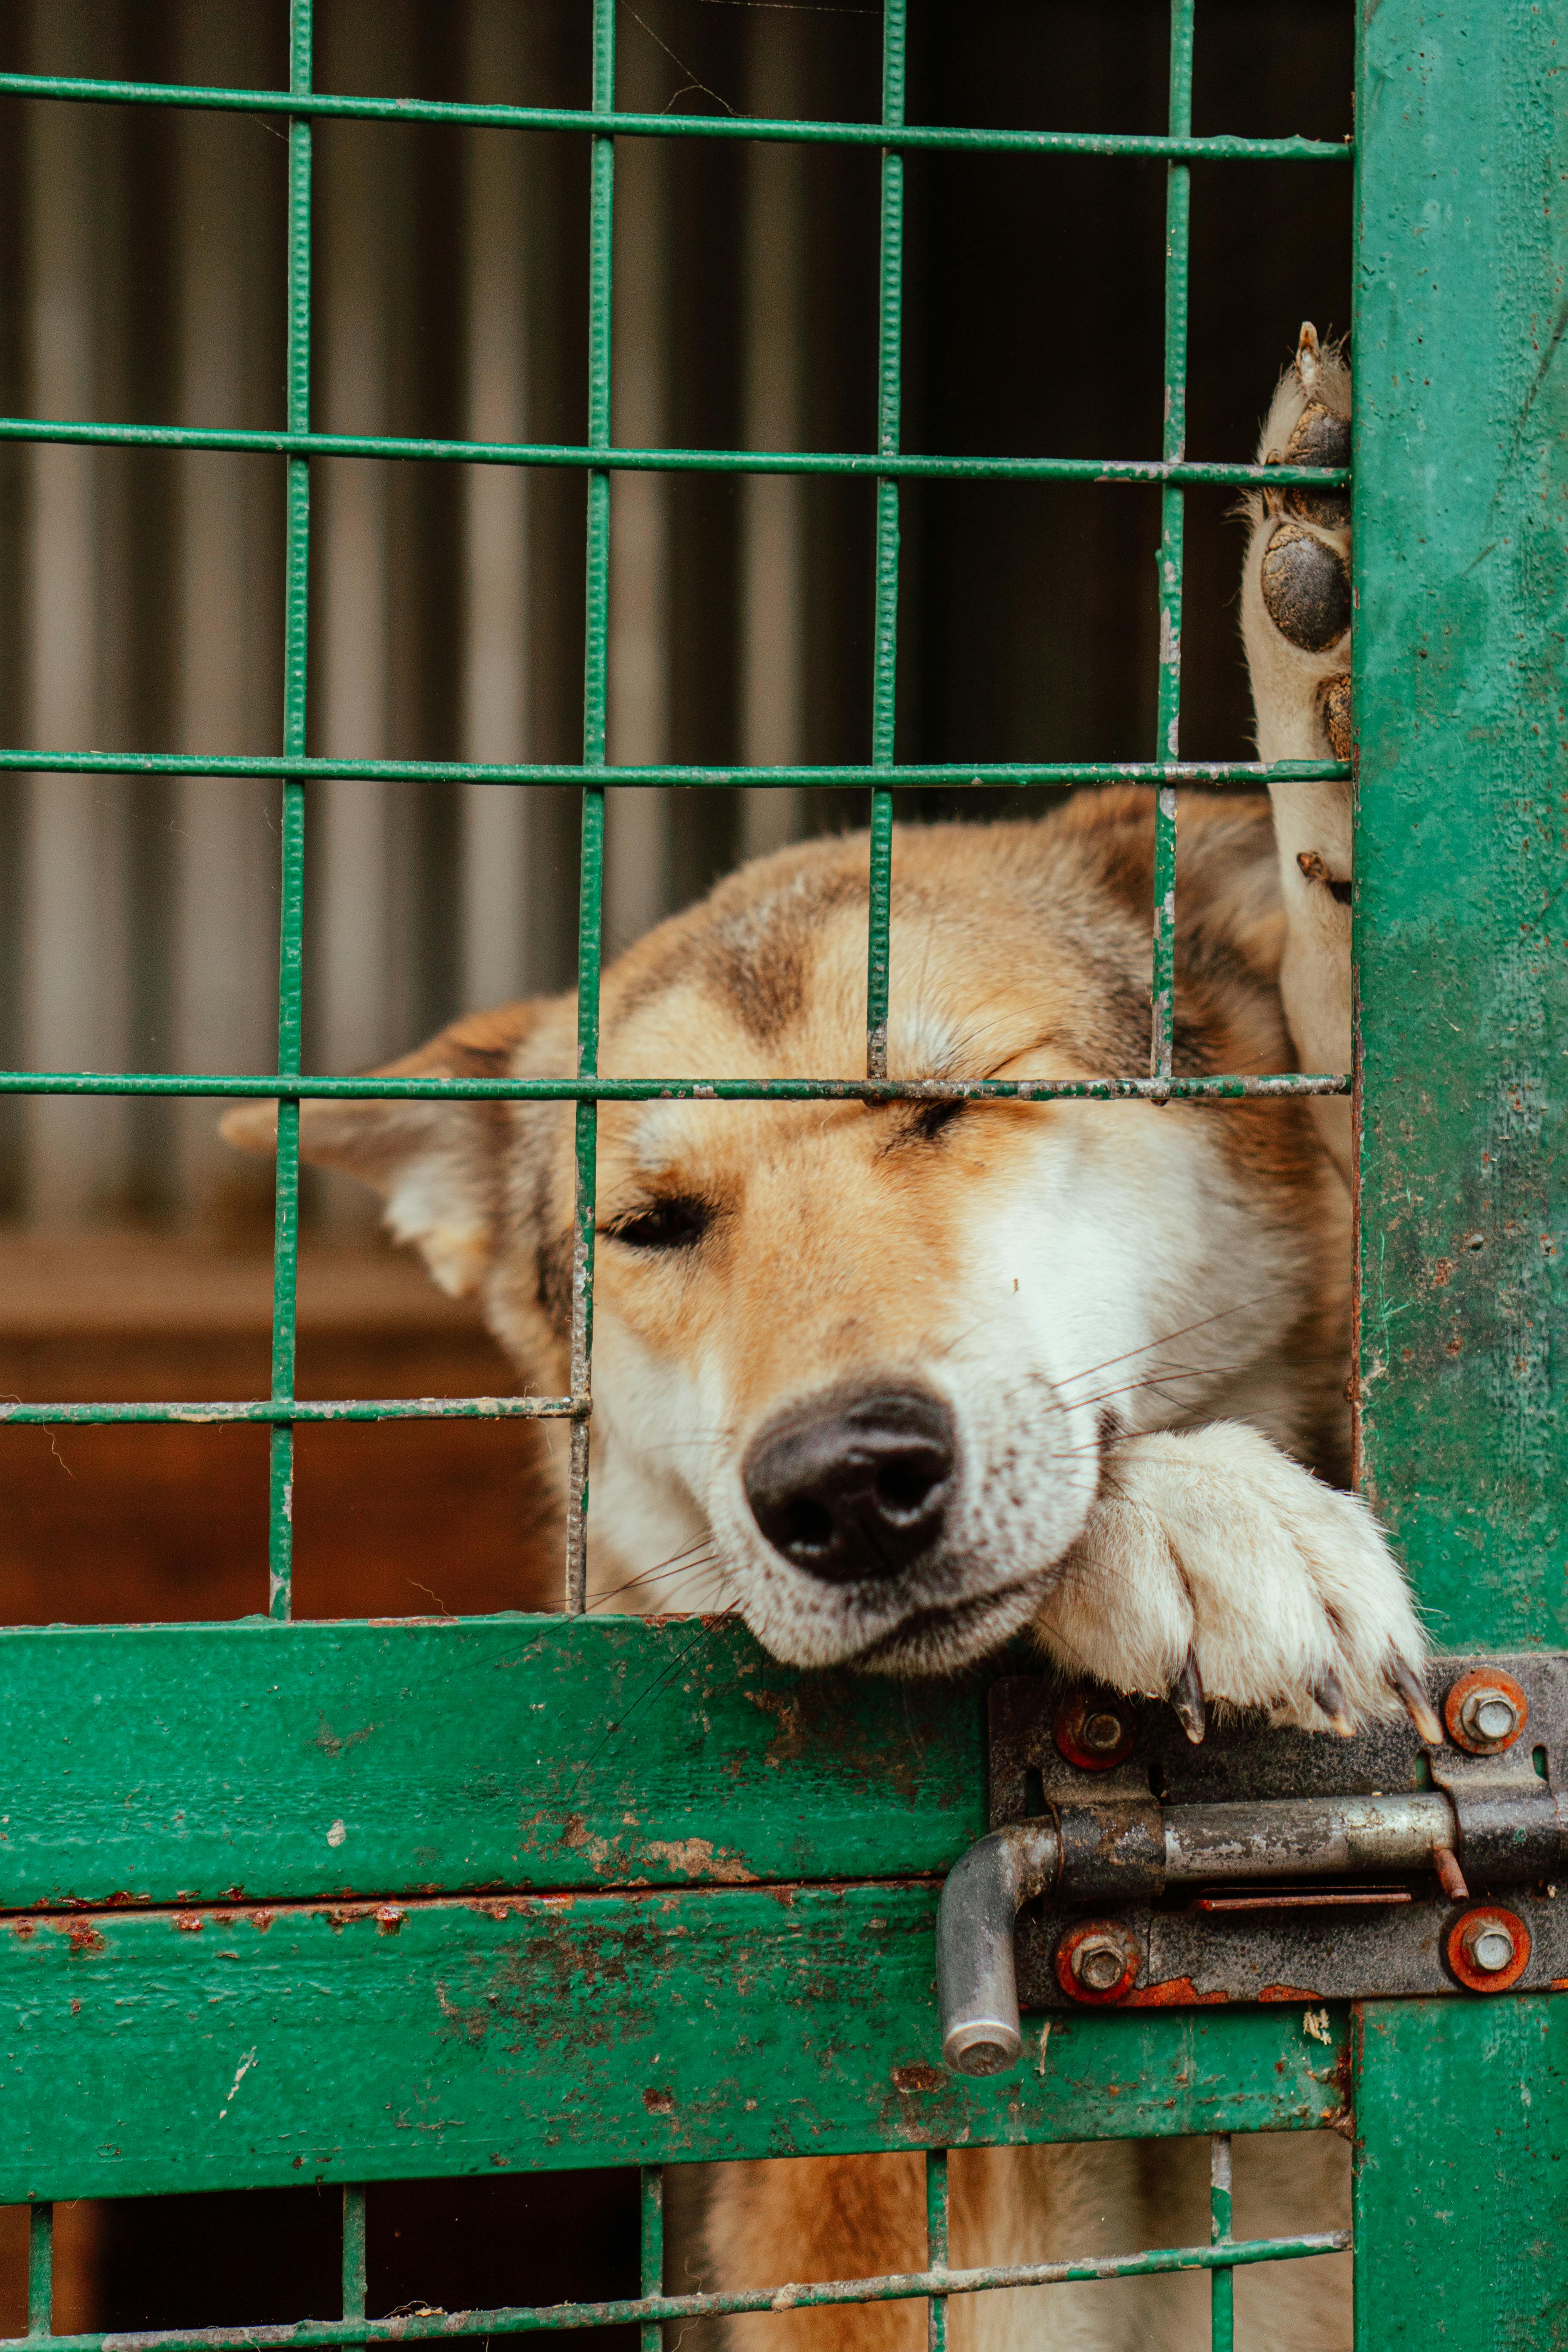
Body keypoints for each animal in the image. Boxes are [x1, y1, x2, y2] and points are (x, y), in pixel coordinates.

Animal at [223, 336, 1401, 2352]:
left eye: (955, 1099)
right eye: (651, 1228)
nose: (842, 1487)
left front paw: (1309, 643)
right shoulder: (890, 2246)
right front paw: (1188, 1518)